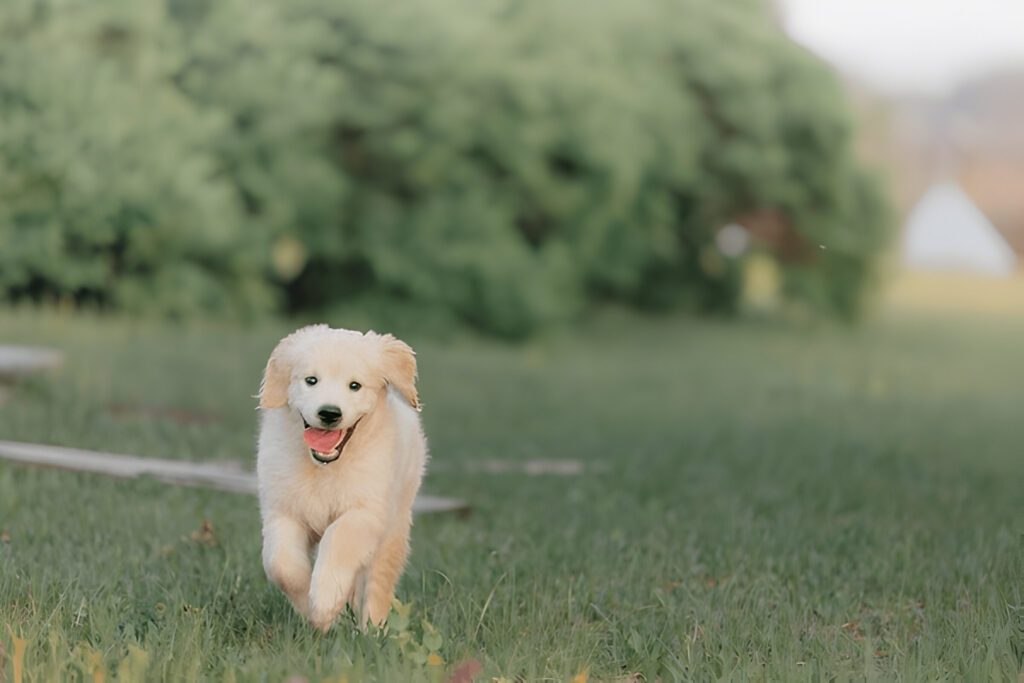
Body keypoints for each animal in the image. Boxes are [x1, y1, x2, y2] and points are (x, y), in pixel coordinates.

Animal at [260, 325, 432, 630]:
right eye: (311, 380)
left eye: (355, 386)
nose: (329, 413)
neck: (324, 468)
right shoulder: (282, 510)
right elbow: (282, 565)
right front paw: (316, 614)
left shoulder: (366, 512)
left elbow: (338, 539)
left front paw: (325, 603)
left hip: (395, 526)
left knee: (377, 583)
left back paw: (372, 630)